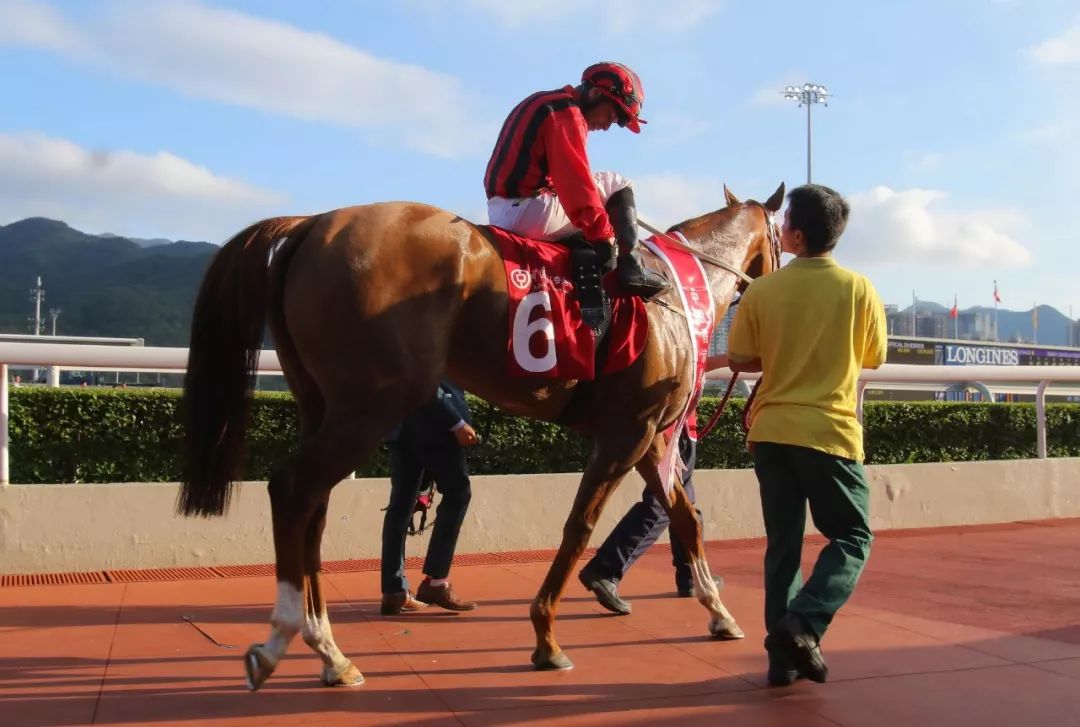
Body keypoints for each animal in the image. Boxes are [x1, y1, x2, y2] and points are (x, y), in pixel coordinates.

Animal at [177, 178, 786, 687]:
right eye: (783, 242)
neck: (676, 298)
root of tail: (310, 224)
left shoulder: (650, 437)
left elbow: (685, 518)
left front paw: (719, 612)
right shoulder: (626, 434)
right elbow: (579, 527)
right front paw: (545, 636)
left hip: (320, 403)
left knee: (313, 508)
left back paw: (331, 652)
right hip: (368, 406)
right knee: (293, 490)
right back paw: (285, 641)